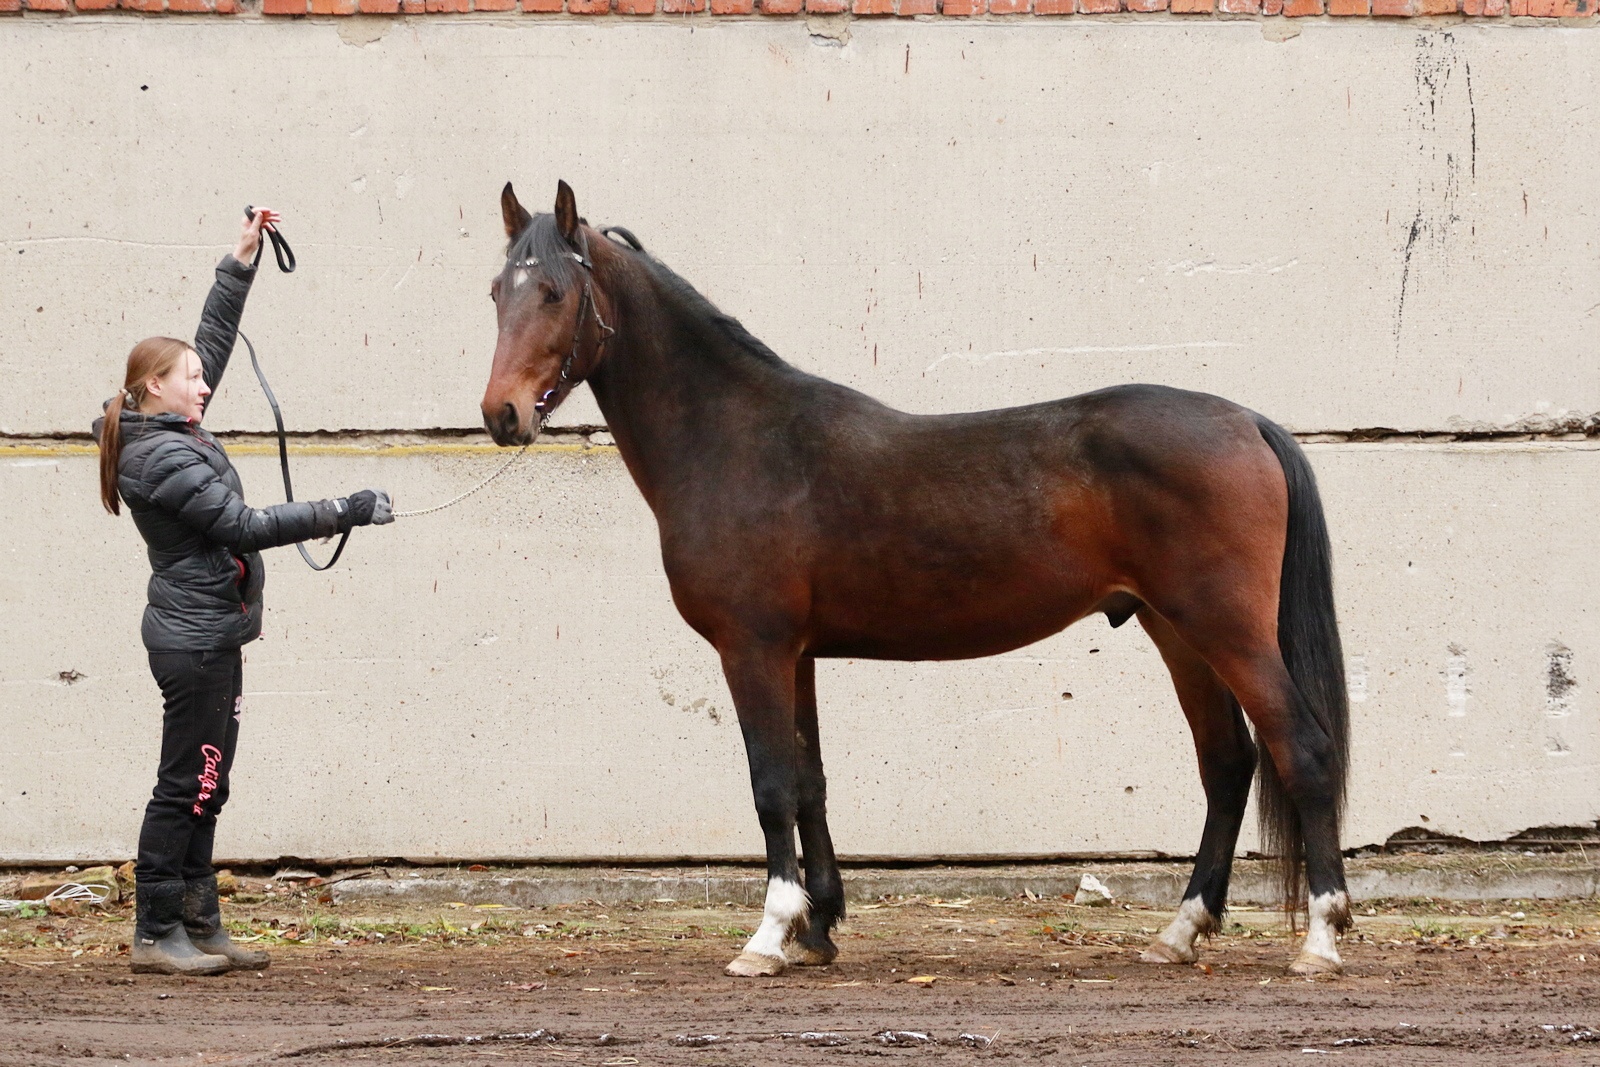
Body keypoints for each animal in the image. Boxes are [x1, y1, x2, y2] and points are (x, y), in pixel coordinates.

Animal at [483, 181, 1350, 979]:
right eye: (497, 291)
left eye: (555, 292)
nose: (501, 414)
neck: (736, 438)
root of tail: (1248, 422)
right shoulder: (798, 654)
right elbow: (810, 781)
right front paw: (819, 927)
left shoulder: (752, 648)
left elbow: (771, 784)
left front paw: (768, 936)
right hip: (1175, 629)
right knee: (1227, 764)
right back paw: (1180, 931)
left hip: (1223, 626)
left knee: (1300, 748)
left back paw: (1320, 938)